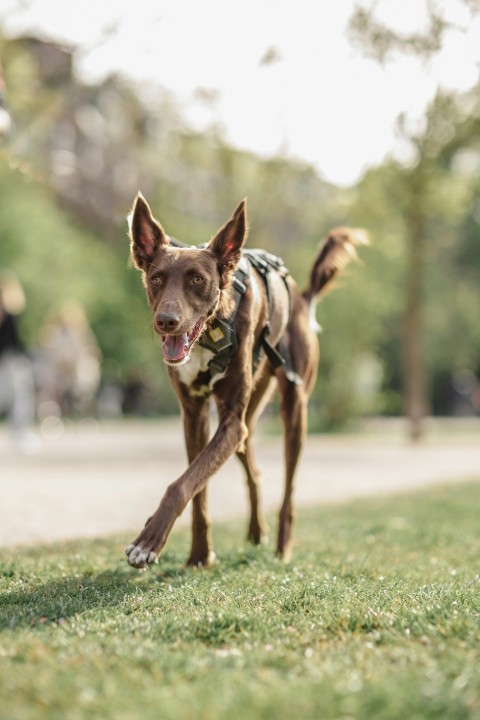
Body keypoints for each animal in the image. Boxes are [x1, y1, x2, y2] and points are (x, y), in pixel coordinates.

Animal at [124, 195, 368, 568]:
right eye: (157, 278)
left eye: (197, 280)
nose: (167, 321)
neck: (210, 334)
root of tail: (301, 297)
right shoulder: (195, 416)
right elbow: (197, 485)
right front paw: (199, 556)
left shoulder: (230, 423)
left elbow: (182, 484)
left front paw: (148, 542)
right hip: (248, 423)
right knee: (254, 471)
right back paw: (256, 531)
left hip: (293, 412)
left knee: (289, 492)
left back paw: (282, 547)